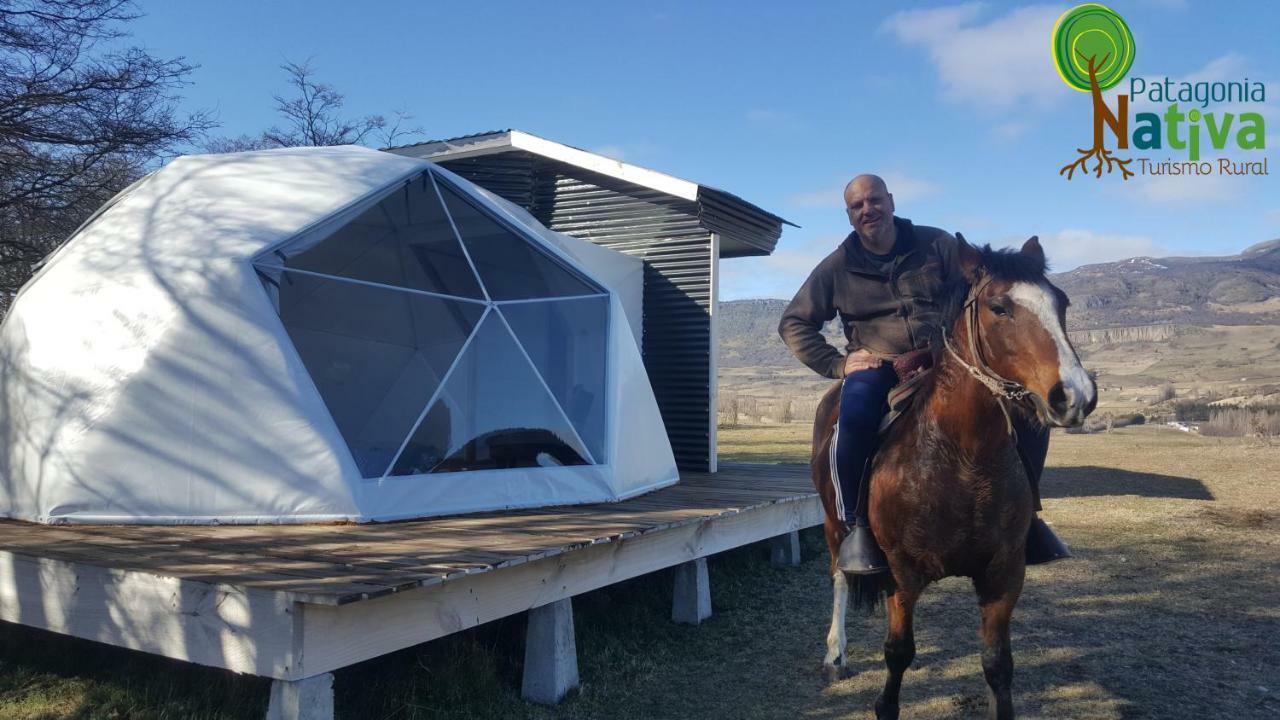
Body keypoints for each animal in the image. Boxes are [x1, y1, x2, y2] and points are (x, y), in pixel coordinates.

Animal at [814, 235, 1095, 717]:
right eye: (999, 307)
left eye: (1062, 302)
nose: (1076, 395)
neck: (963, 457)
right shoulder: (902, 575)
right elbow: (897, 655)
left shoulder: (1003, 575)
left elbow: (998, 666)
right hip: (834, 526)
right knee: (839, 578)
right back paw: (836, 654)